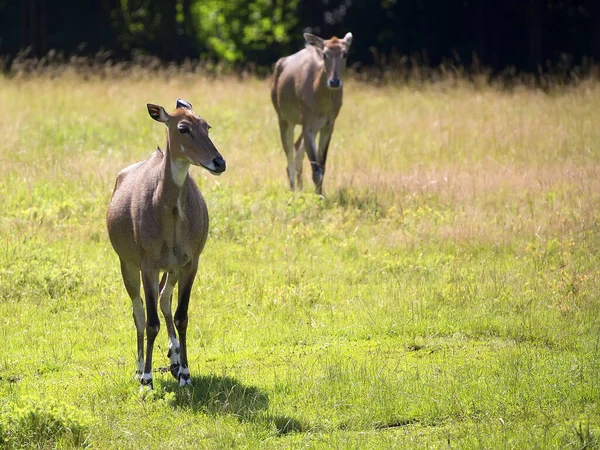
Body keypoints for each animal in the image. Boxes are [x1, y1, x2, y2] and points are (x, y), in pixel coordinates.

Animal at [106, 99, 225, 390]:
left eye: (206, 126)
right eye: (182, 128)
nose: (219, 162)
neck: (170, 212)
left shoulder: (190, 262)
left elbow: (182, 316)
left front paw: (185, 373)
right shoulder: (147, 265)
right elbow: (150, 322)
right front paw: (147, 380)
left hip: (171, 269)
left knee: (164, 299)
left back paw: (174, 359)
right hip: (128, 265)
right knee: (139, 311)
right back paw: (140, 368)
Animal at [270, 31, 352, 193]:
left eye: (345, 53)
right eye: (325, 54)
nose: (334, 82)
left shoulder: (328, 124)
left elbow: (322, 165)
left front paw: (320, 194)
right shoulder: (308, 121)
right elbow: (315, 169)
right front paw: (317, 197)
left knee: (297, 148)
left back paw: (300, 188)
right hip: (283, 116)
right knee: (289, 156)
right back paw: (293, 191)